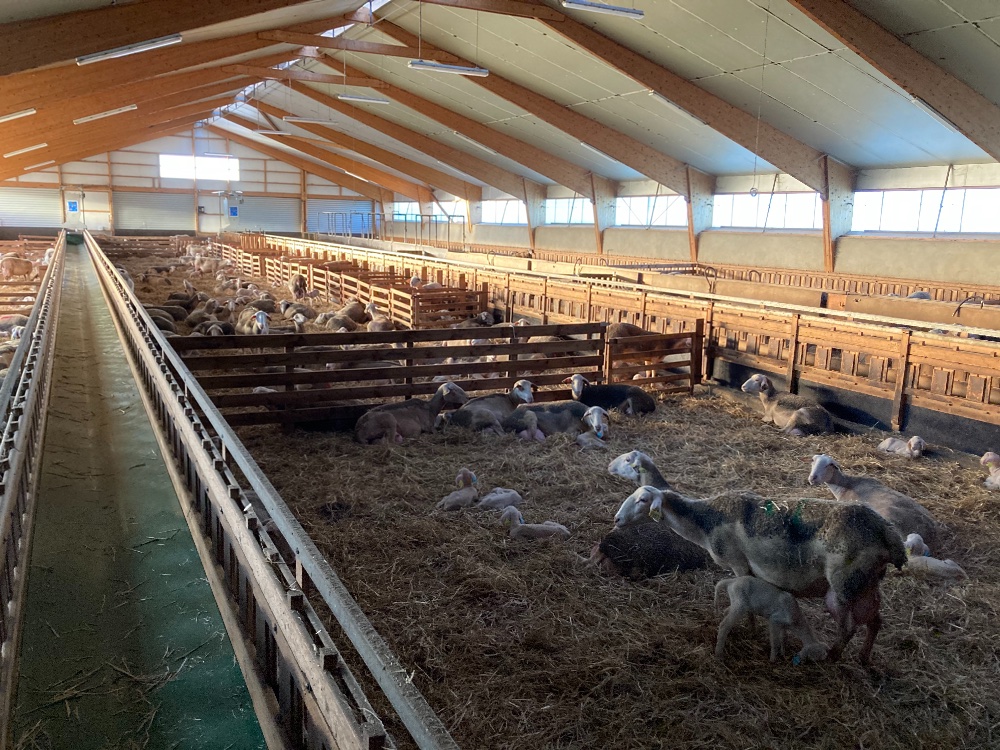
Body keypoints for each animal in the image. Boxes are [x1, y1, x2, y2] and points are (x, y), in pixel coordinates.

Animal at [614, 485, 907, 663]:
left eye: (642, 500)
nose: (616, 520)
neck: (704, 523)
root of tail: (889, 534)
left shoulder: (738, 563)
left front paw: (752, 630)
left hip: (845, 584)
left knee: (848, 627)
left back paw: (833, 656)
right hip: (867, 583)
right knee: (875, 622)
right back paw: (864, 658)